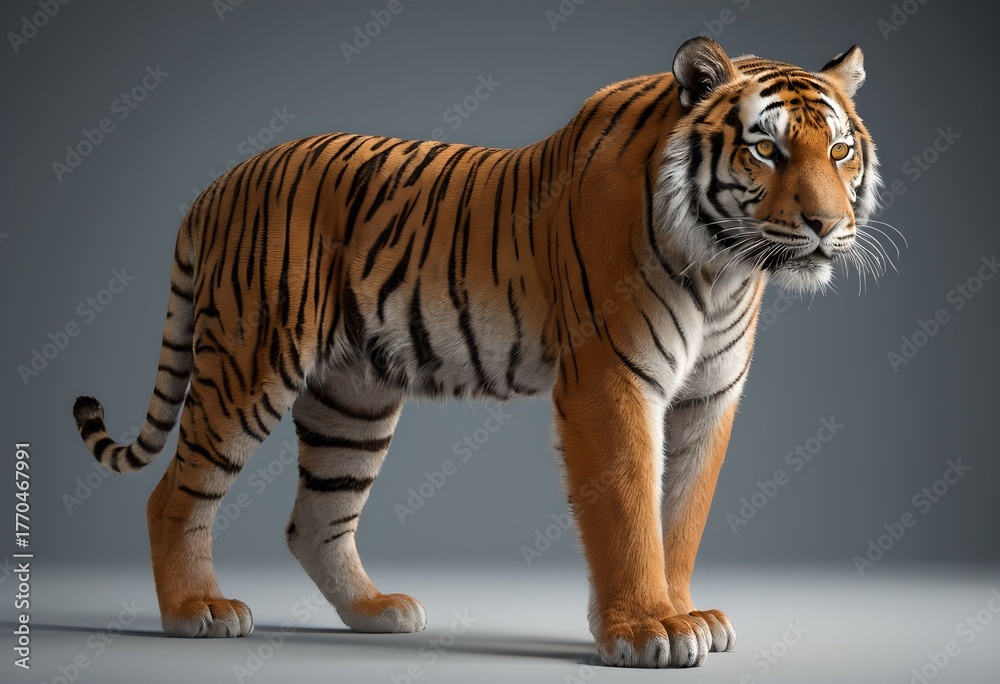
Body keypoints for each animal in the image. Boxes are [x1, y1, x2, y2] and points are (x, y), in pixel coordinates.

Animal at [71, 37, 881, 668]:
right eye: (766, 149)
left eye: (839, 151)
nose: (826, 225)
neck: (724, 268)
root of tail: (218, 185)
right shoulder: (612, 382)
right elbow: (628, 511)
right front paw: (646, 628)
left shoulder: (706, 398)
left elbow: (681, 515)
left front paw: (685, 613)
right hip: (249, 363)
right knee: (174, 494)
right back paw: (195, 611)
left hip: (352, 400)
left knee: (316, 520)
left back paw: (375, 612)